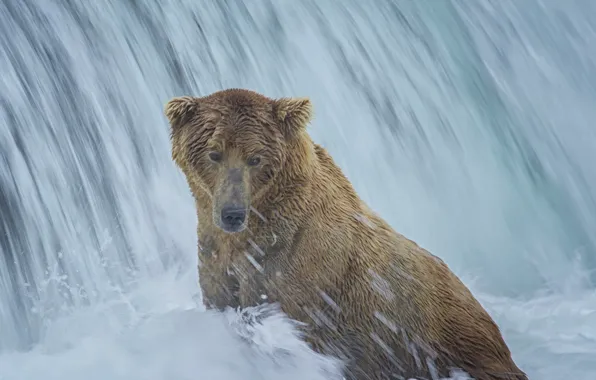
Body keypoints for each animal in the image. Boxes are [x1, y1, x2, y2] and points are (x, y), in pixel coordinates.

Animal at [165, 89, 528, 380]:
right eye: (214, 153)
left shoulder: (301, 273)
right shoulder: (218, 261)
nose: (232, 213)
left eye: (255, 157)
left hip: (453, 341)